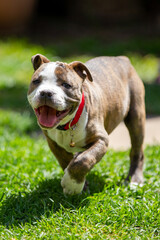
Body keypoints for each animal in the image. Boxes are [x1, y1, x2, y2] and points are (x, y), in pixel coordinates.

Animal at [27, 54, 145, 195]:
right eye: (36, 81)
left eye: (66, 85)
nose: (46, 92)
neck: (68, 124)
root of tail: (121, 58)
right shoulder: (54, 144)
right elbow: (66, 161)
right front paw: (81, 185)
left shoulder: (101, 140)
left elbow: (84, 160)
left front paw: (72, 185)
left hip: (136, 117)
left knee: (137, 151)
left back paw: (134, 179)